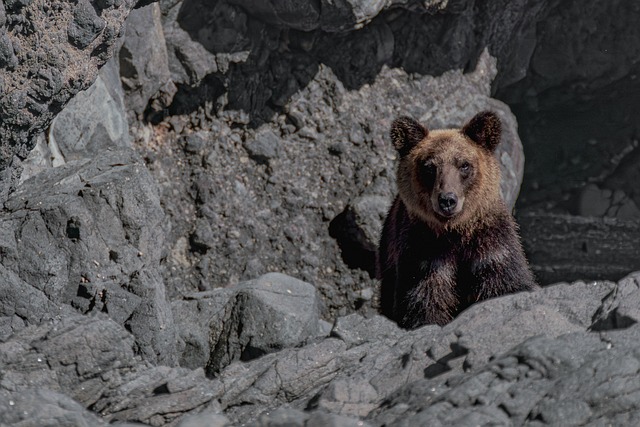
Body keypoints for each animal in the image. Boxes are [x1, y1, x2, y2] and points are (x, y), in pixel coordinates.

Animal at [377, 111, 538, 329]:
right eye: (429, 167)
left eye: (464, 165)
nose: (447, 200)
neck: (455, 231)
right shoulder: (423, 255)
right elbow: (423, 300)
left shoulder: (491, 245)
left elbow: (505, 282)